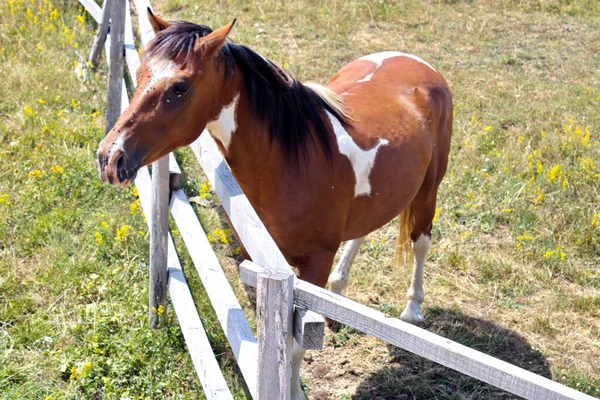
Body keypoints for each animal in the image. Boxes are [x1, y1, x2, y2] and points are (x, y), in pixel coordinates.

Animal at [95, 10, 450, 398]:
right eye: (143, 71)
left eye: (181, 87)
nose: (110, 157)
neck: (292, 161)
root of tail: (418, 63)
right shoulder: (256, 259)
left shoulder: (313, 267)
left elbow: (294, 347)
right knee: (363, 231)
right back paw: (339, 293)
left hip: (429, 187)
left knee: (421, 241)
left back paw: (412, 310)